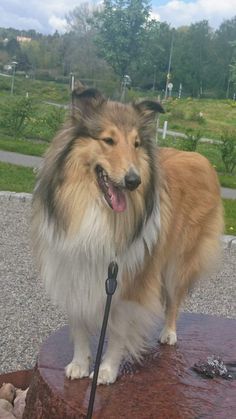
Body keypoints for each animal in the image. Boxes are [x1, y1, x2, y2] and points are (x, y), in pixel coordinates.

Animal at [31, 87, 223, 386]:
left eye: (136, 144)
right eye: (108, 140)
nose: (134, 181)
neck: (96, 208)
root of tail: (199, 157)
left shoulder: (131, 281)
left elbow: (119, 331)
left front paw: (107, 370)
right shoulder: (73, 269)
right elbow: (79, 324)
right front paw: (80, 364)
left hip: (177, 263)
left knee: (174, 301)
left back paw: (169, 333)